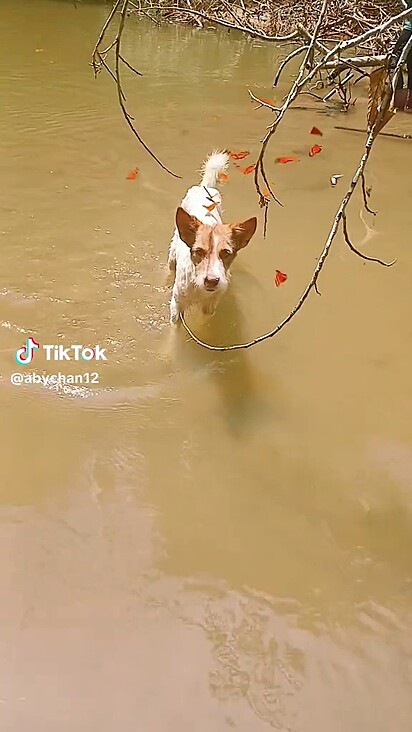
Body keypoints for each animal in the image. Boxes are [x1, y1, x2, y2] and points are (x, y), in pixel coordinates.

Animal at [166, 151, 256, 324]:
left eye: (226, 253)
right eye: (199, 251)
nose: (211, 281)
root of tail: (204, 186)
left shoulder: (210, 307)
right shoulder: (177, 306)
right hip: (172, 255)